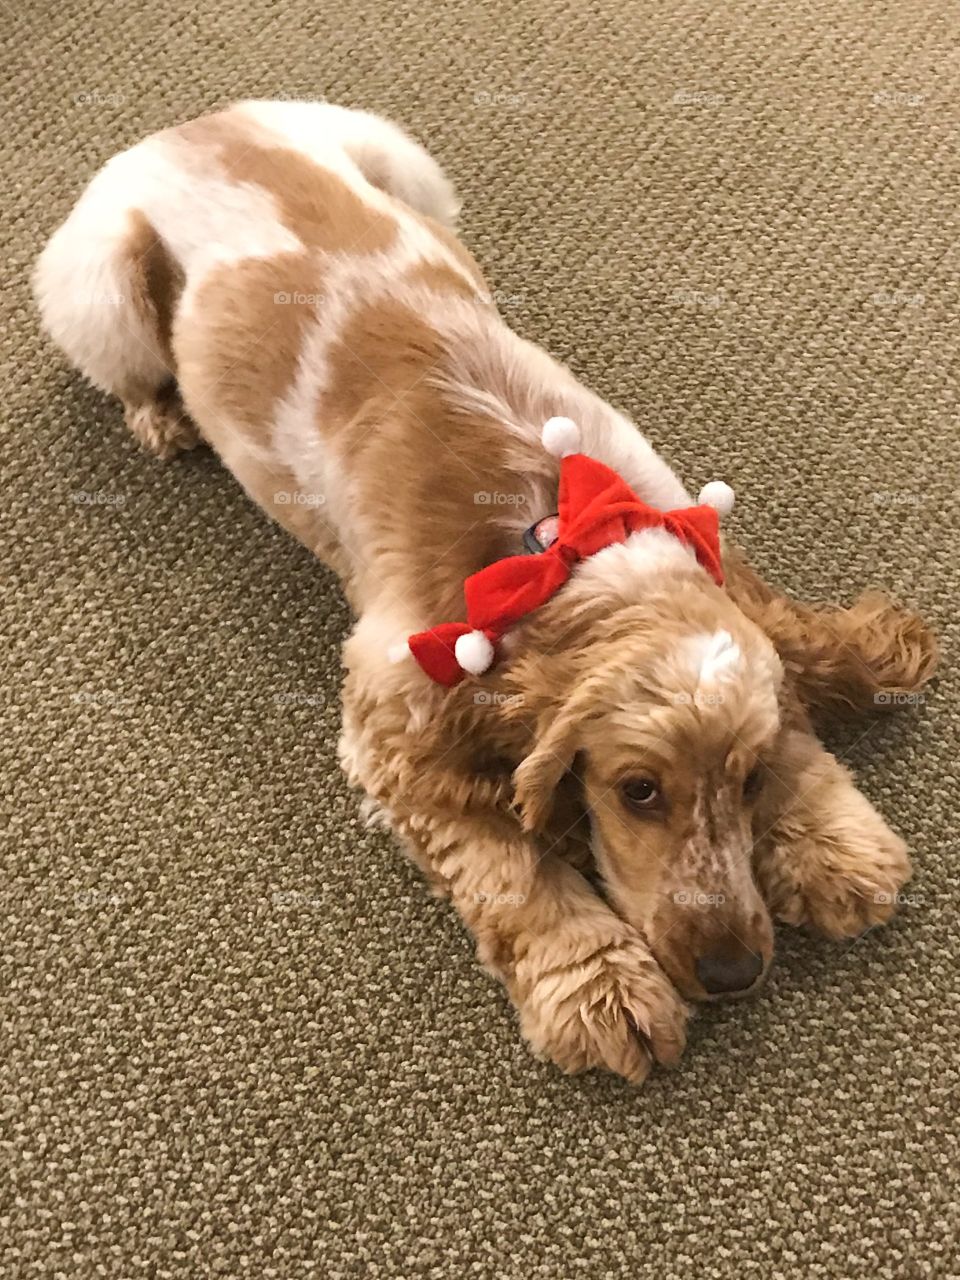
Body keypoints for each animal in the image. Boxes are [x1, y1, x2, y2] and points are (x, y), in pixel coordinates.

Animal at [37, 99, 942, 1085]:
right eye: (637, 790)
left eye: (748, 778)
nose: (734, 971)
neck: (565, 539)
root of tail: (202, 122)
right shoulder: (399, 729)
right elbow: (511, 868)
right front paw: (601, 989)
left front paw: (830, 843)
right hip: (104, 290)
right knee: (130, 366)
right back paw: (163, 416)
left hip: (405, 165)